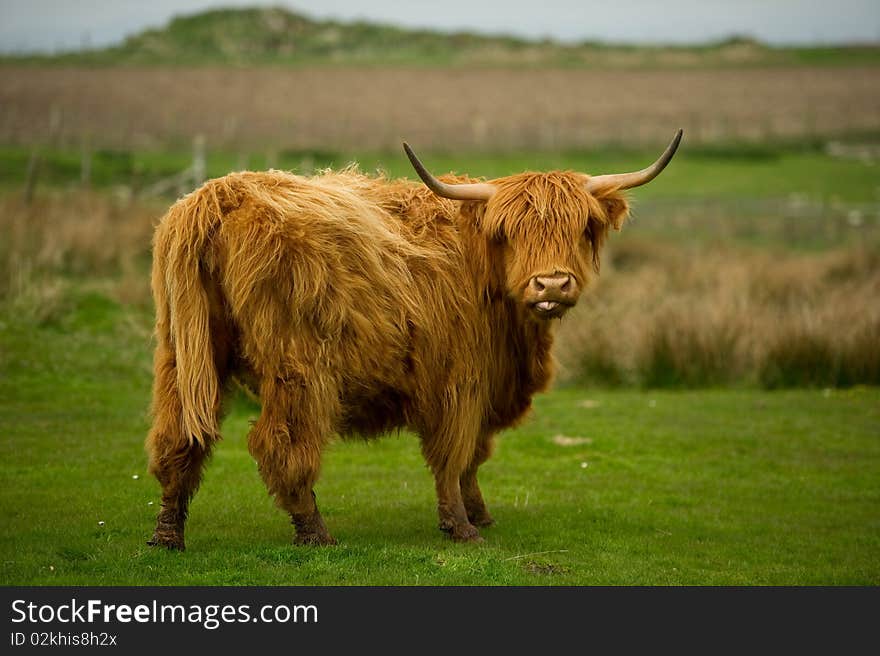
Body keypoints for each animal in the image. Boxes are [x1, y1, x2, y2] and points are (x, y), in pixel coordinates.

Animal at [146, 131, 680, 544]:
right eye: (509, 231)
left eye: (584, 226)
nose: (551, 284)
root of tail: (220, 194)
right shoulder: (460, 380)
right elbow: (454, 455)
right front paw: (462, 527)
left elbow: (473, 458)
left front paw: (479, 512)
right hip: (297, 367)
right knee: (280, 444)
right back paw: (315, 532)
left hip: (181, 351)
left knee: (177, 437)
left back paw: (168, 534)